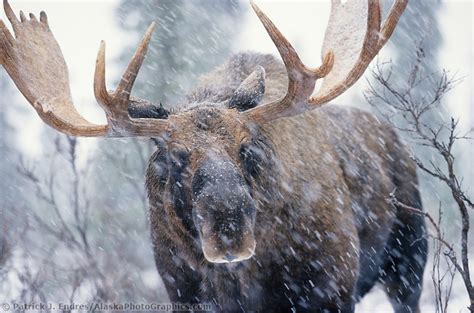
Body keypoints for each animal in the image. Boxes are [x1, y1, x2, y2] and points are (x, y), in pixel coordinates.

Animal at [0, 0, 428, 310]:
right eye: (174, 155)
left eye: (246, 145)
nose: (229, 227)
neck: (241, 282)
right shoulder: (185, 296)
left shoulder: (332, 289)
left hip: (409, 259)